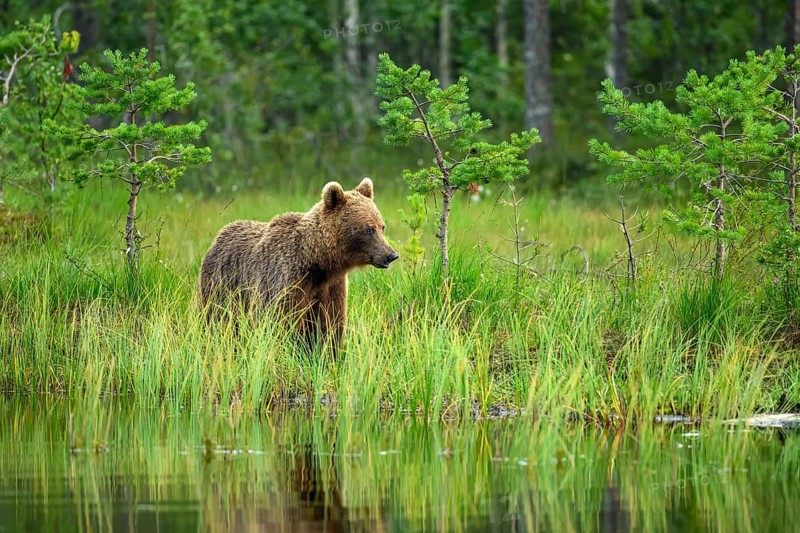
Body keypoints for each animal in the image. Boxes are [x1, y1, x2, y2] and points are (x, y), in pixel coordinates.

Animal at [198, 178, 398, 346]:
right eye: (368, 229)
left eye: (382, 227)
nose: (391, 255)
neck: (317, 262)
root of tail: (219, 236)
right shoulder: (286, 282)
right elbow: (283, 325)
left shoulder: (331, 287)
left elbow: (331, 326)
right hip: (222, 288)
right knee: (216, 321)